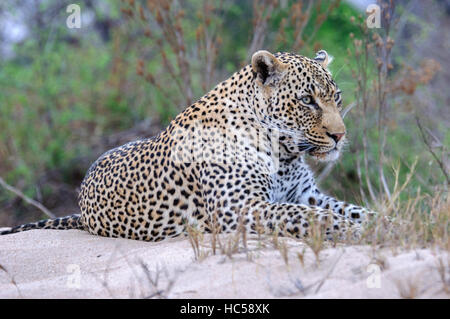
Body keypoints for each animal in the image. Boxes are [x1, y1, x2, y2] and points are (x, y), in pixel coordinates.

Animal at [0, 50, 376, 242]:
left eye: (336, 98)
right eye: (307, 100)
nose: (340, 135)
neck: (283, 154)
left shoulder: (305, 193)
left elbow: (349, 208)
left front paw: (380, 223)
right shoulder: (237, 208)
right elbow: (307, 217)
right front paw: (354, 231)